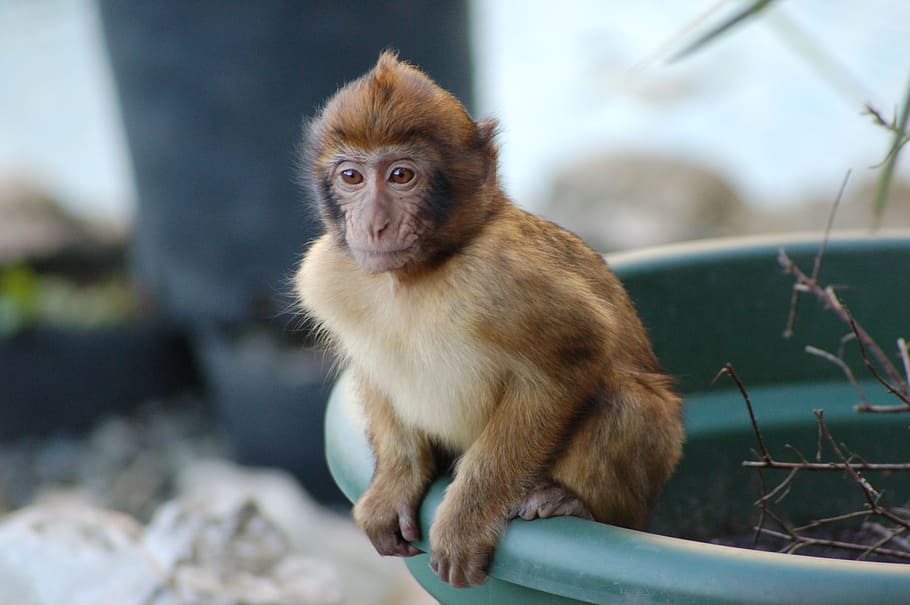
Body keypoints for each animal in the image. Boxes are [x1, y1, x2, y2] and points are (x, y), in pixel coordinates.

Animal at [294, 51, 684, 588]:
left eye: (400, 176)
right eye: (351, 177)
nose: (373, 225)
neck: (416, 275)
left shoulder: (499, 276)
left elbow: (572, 357)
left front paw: (464, 522)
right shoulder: (327, 275)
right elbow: (373, 374)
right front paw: (395, 483)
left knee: (625, 402)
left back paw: (575, 503)